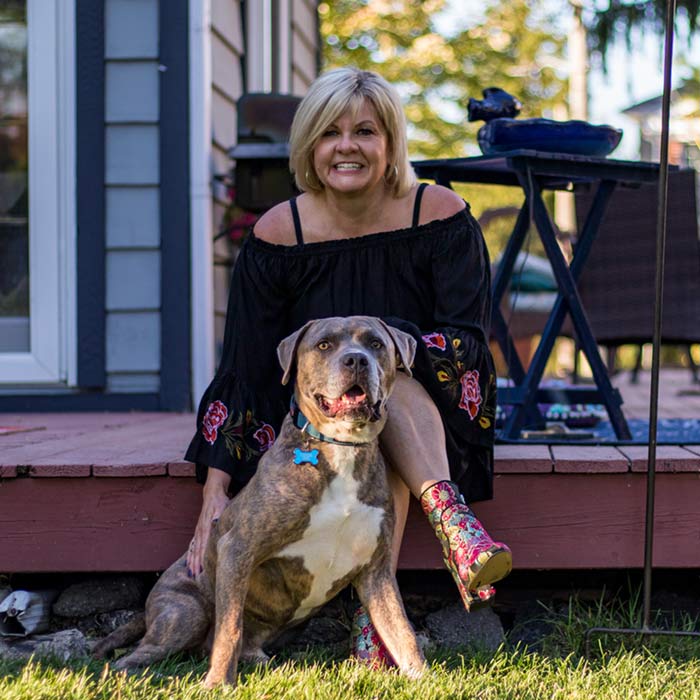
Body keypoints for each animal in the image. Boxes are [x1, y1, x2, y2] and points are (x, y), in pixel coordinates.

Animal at [93, 318, 426, 688]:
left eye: (375, 344)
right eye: (324, 344)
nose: (356, 360)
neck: (342, 447)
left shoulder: (376, 570)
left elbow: (401, 631)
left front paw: (423, 678)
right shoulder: (237, 548)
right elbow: (230, 628)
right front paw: (218, 683)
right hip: (185, 613)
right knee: (140, 653)